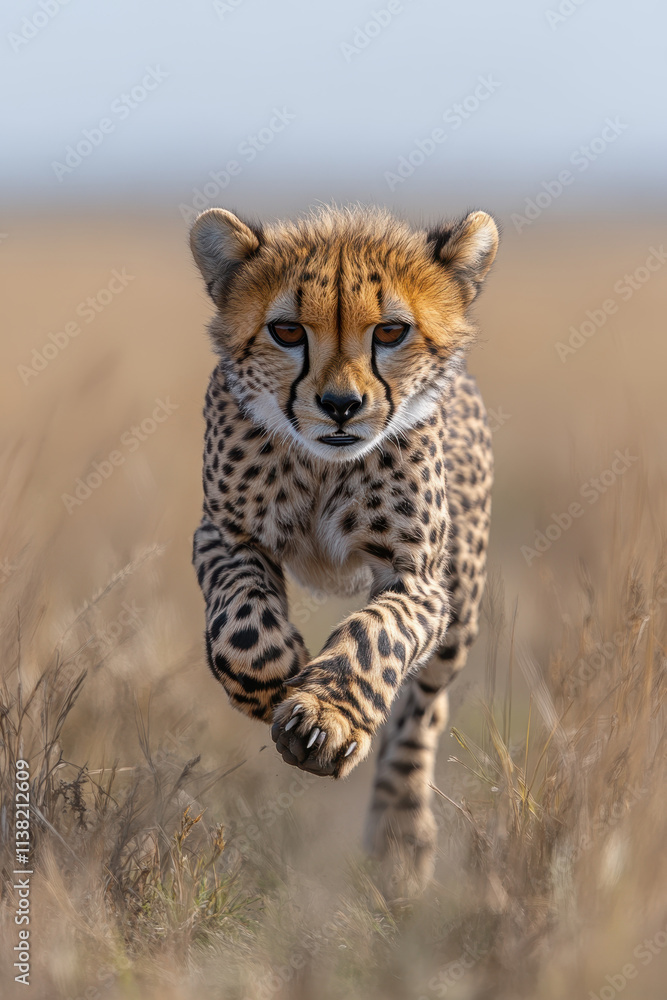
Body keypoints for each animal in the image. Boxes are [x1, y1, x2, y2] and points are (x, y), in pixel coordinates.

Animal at [189, 203, 497, 891]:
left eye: (390, 331)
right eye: (285, 331)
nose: (340, 405)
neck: (324, 467)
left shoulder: (420, 575)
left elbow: (377, 636)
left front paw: (324, 722)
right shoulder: (223, 532)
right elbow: (240, 624)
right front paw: (273, 678)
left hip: (462, 606)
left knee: (422, 712)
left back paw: (401, 834)